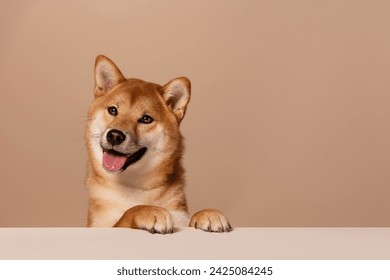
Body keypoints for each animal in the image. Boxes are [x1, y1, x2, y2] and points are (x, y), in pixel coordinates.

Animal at [85, 55, 232, 234]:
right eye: (113, 110)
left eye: (146, 119)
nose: (114, 135)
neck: (134, 189)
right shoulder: (98, 226)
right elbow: (128, 214)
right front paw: (148, 210)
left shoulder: (180, 216)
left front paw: (208, 213)